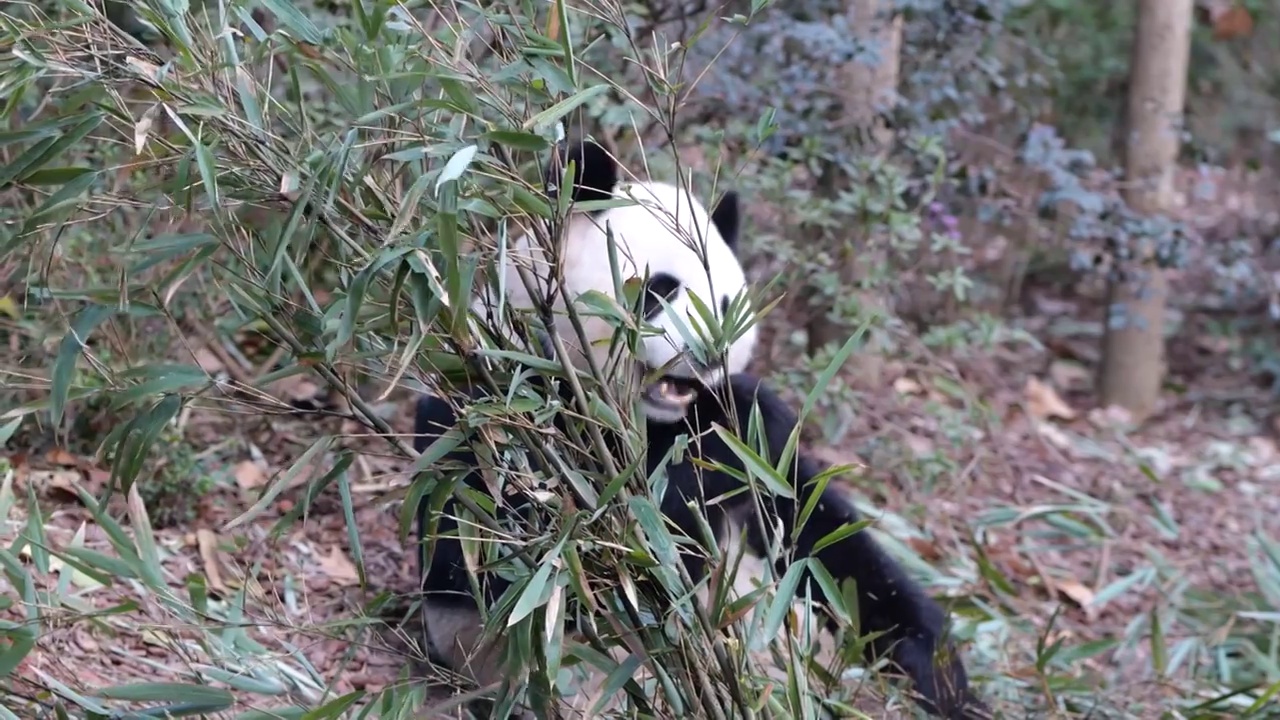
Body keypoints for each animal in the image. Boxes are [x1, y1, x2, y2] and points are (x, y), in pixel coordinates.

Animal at [414, 137, 983, 712]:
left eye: (727, 302)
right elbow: (537, 566)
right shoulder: (495, 412)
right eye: (660, 289)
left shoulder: (762, 451)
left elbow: (818, 528)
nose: (712, 350)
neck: (644, 419)